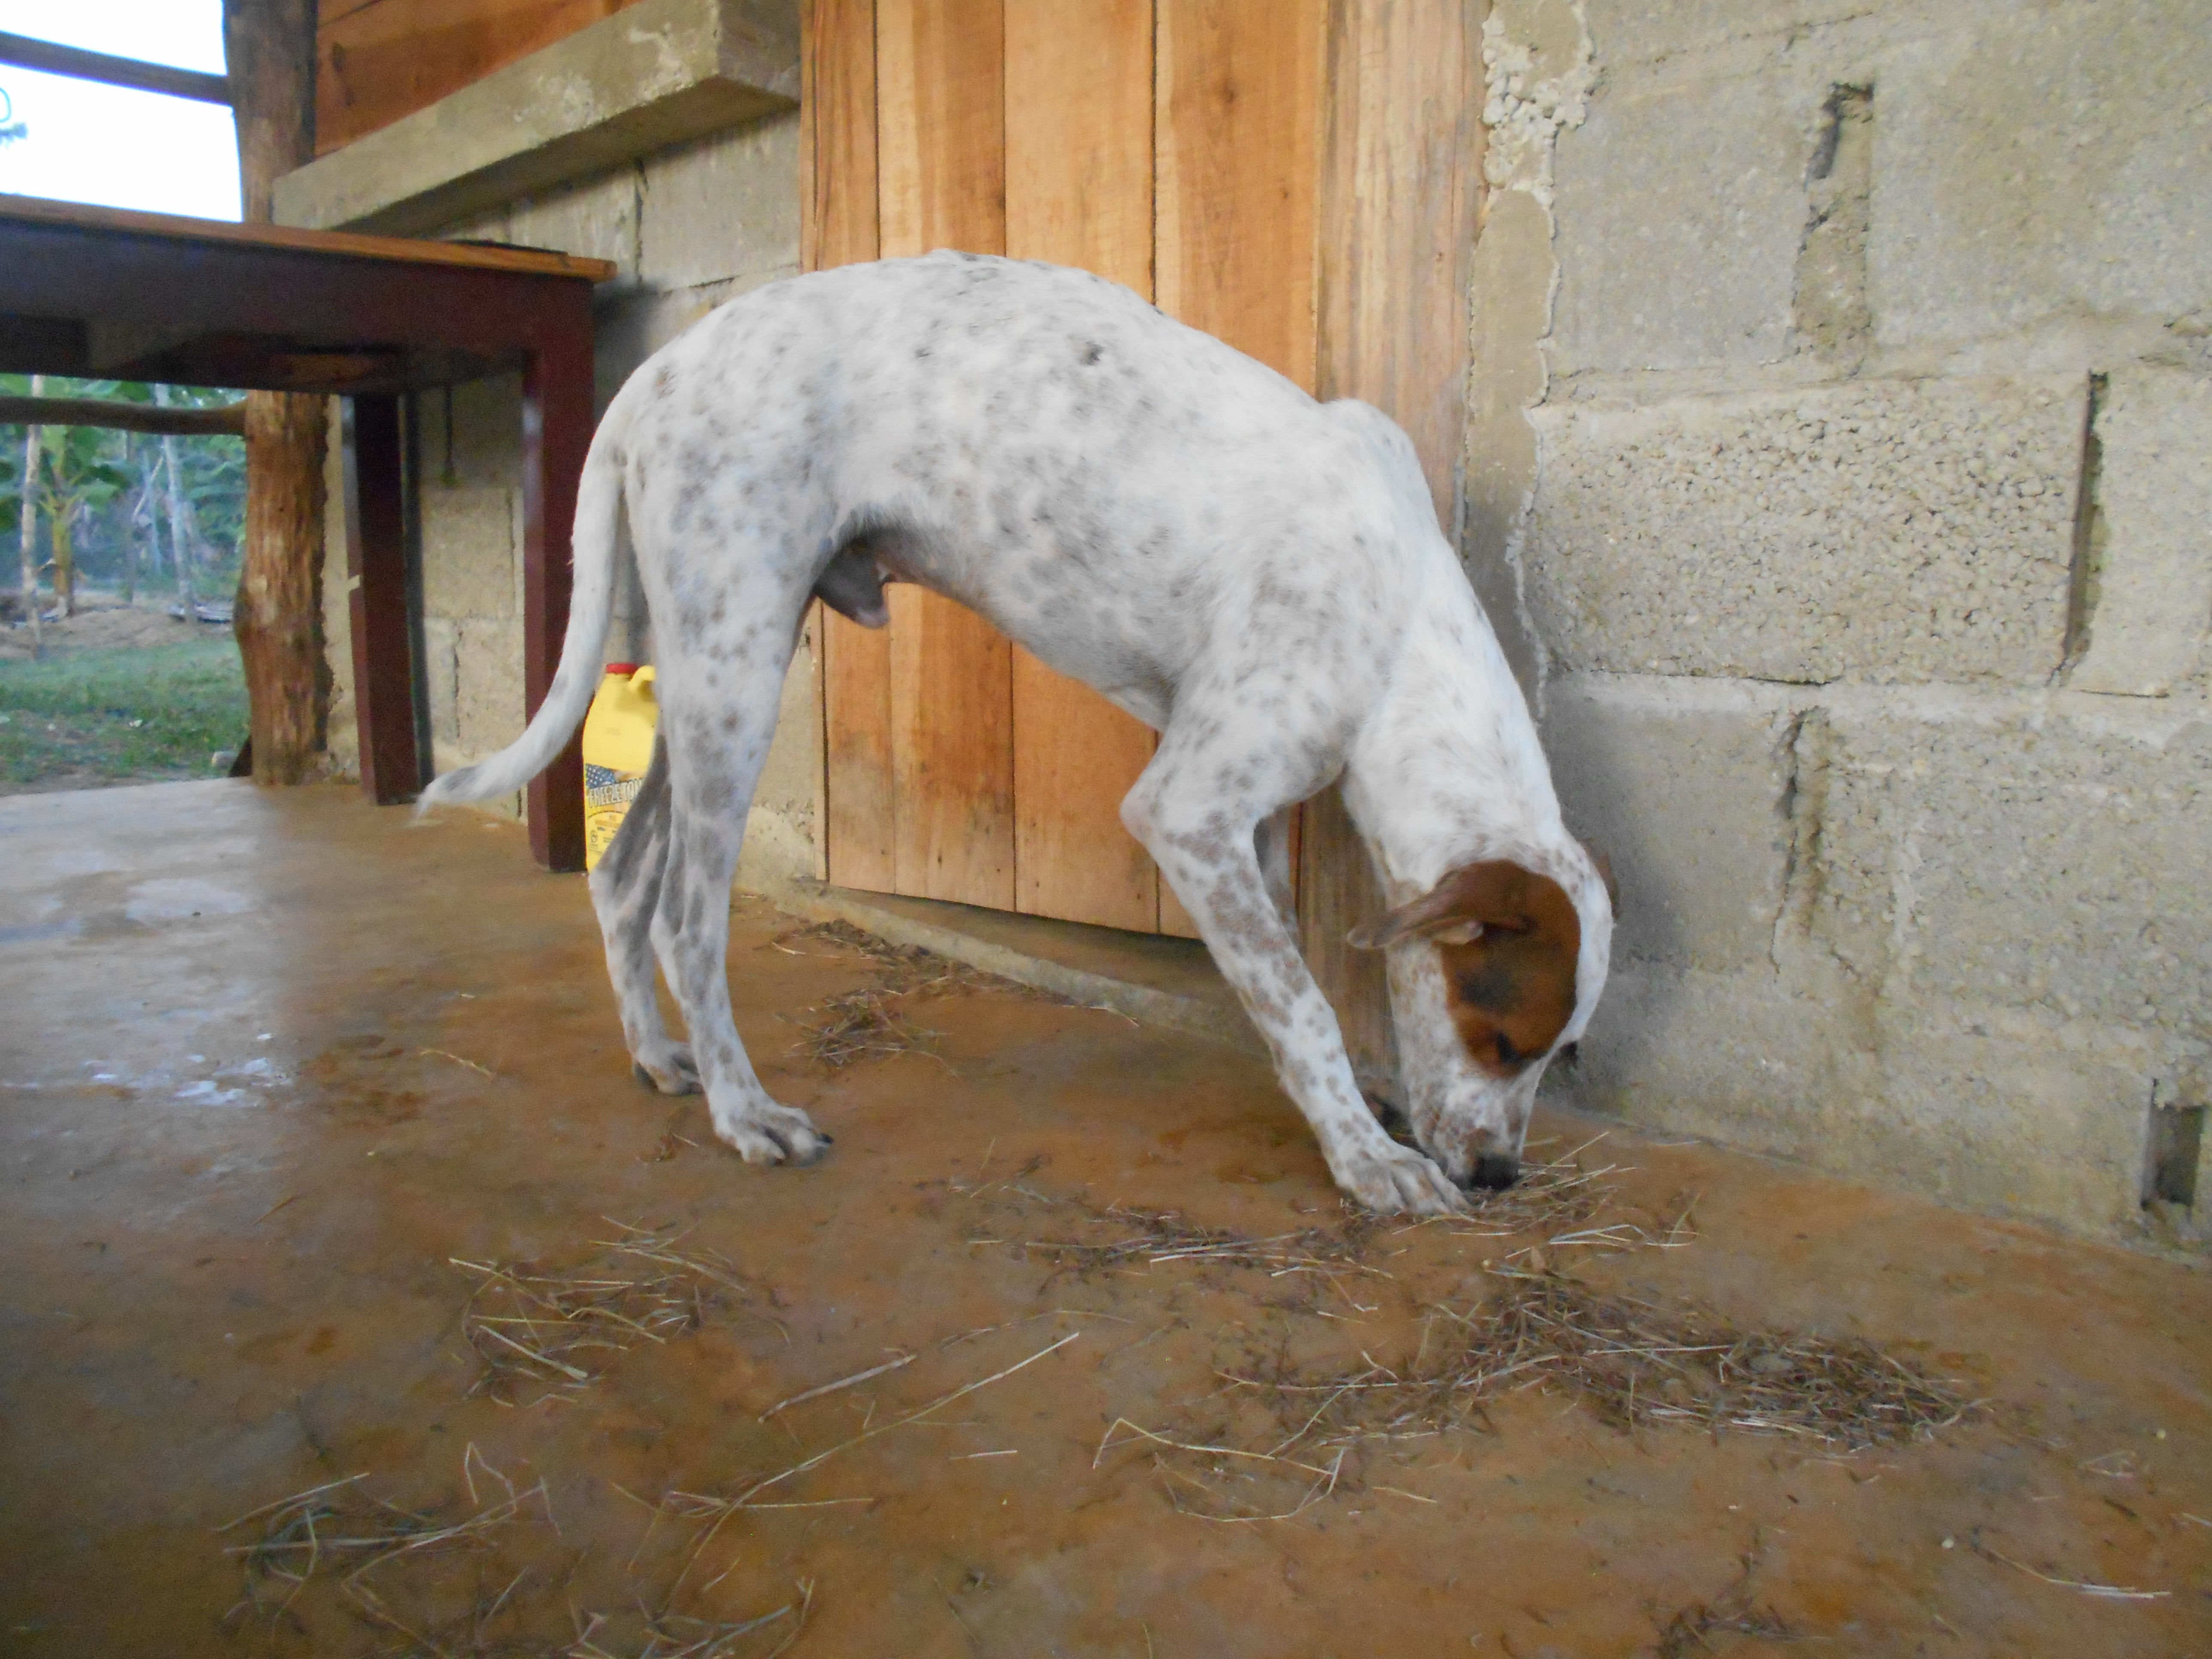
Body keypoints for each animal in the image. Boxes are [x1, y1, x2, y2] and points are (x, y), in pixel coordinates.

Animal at [421, 253, 1613, 1216]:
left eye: (1555, 1055)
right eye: (1501, 1039)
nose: (1501, 1179)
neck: (1398, 615)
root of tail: (657, 371)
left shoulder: (1254, 821)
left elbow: (1283, 989)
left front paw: (1347, 1118)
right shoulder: (1185, 811)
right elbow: (1309, 1007)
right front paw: (1369, 1161)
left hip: (707, 664)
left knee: (622, 877)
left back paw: (659, 1059)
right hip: (738, 666)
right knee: (683, 916)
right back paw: (745, 1111)